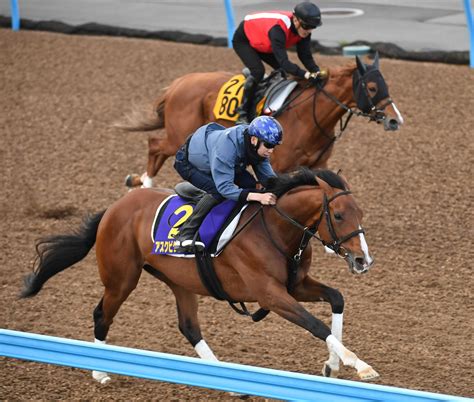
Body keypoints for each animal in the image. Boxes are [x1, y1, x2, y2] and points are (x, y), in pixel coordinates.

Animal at [22, 168, 380, 384]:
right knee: (102, 315)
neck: (276, 229)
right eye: (338, 215)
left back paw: (226, 380)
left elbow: (336, 299)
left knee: (189, 327)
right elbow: (316, 325)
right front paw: (359, 364)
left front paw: (333, 364)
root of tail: (112, 209)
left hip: (180, 282)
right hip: (121, 279)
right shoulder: (270, 294)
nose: (363, 260)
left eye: (360, 213)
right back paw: (99, 371)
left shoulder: (296, 285)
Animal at [118, 53, 404, 188]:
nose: (395, 120)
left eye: (385, 85)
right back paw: (142, 183)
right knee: (155, 145)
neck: (309, 118)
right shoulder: (276, 164)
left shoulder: (318, 163)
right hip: (181, 136)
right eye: (371, 87)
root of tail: (178, 84)